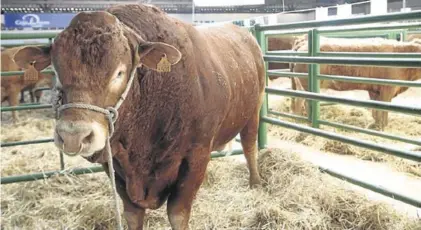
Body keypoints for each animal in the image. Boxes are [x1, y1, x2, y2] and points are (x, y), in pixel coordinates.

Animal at [13, 3, 266, 230]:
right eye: (57, 70)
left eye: (119, 72)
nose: (74, 136)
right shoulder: (115, 165)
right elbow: (133, 215)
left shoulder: (196, 156)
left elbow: (177, 214)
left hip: (253, 111)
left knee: (249, 146)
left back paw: (255, 182)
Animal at [288, 36, 420, 130]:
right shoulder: (387, 89)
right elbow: (383, 111)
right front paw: (382, 128)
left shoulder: (375, 90)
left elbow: (376, 111)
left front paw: (376, 126)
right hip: (306, 86)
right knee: (303, 102)